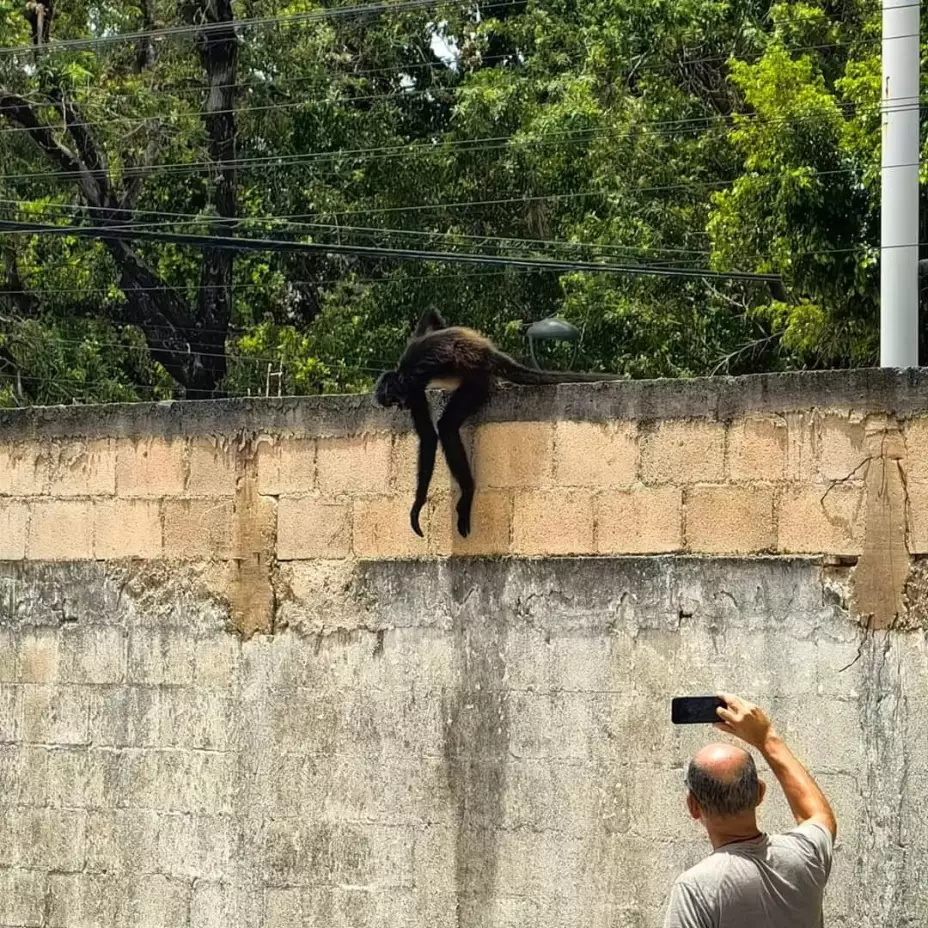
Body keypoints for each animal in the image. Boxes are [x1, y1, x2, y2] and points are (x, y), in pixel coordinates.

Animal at [374, 307, 622, 538]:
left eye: (396, 400)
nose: (402, 406)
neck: (402, 371)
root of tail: (487, 353)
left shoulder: (413, 383)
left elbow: (428, 436)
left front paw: (417, 506)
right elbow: (430, 314)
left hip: (476, 379)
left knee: (446, 427)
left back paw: (468, 491)